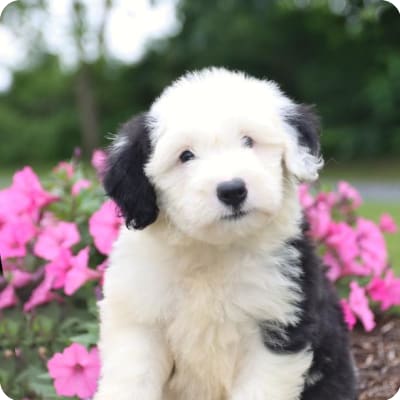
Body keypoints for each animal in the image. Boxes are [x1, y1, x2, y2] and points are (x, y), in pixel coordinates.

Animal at [95, 69, 358, 400]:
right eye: (186, 155)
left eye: (248, 141)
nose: (232, 190)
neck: (214, 251)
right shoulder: (139, 319)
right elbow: (132, 378)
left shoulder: (279, 323)